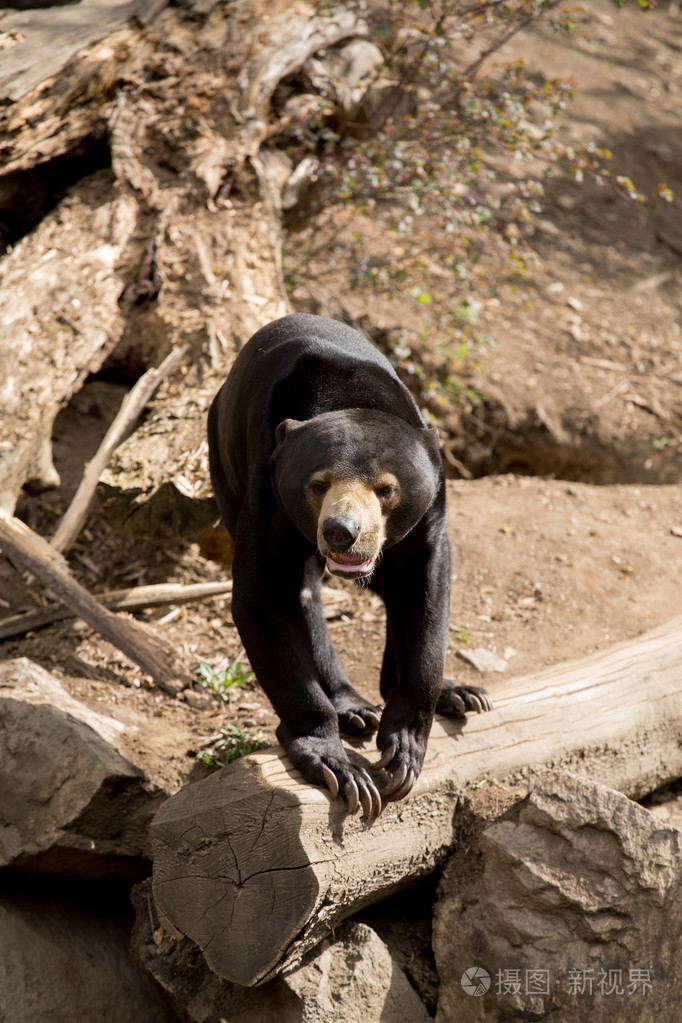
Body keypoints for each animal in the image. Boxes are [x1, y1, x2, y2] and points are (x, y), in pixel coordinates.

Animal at [207, 313, 491, 820]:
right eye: (319, 484)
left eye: (386, 488)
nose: (342, 532)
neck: (346, 392)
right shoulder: (268, 486)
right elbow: (263, 596)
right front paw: (337, 765)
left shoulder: (431, 506)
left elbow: (426, 591)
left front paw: (404, 749)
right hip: (224, 464)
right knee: (304, 593)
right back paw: (352, 709)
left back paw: (455, 694)